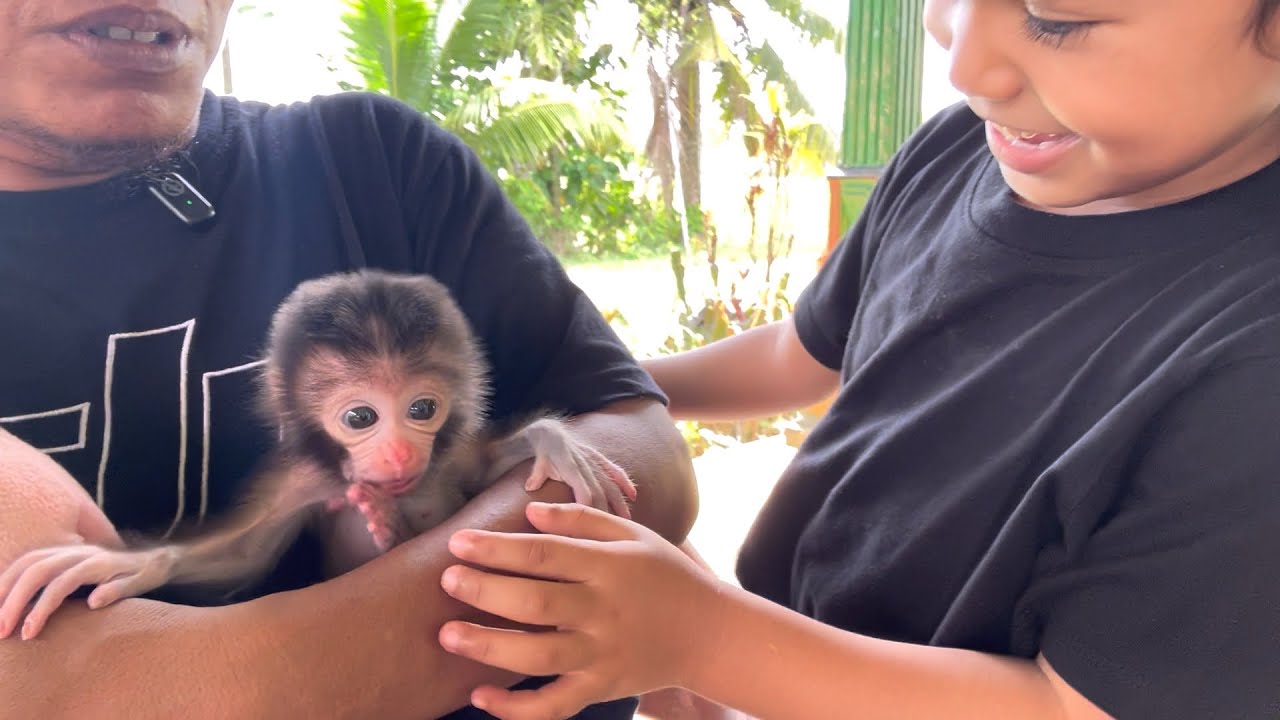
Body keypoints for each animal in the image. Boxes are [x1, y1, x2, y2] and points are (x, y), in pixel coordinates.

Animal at [0, 269, 637, 640]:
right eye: (360, 418)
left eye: (422, 408)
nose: (399, 452)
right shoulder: (301, 483)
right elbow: (241, 553)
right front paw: (129, 563)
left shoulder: (450, 457)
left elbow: (485, 470)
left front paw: (554, 442)